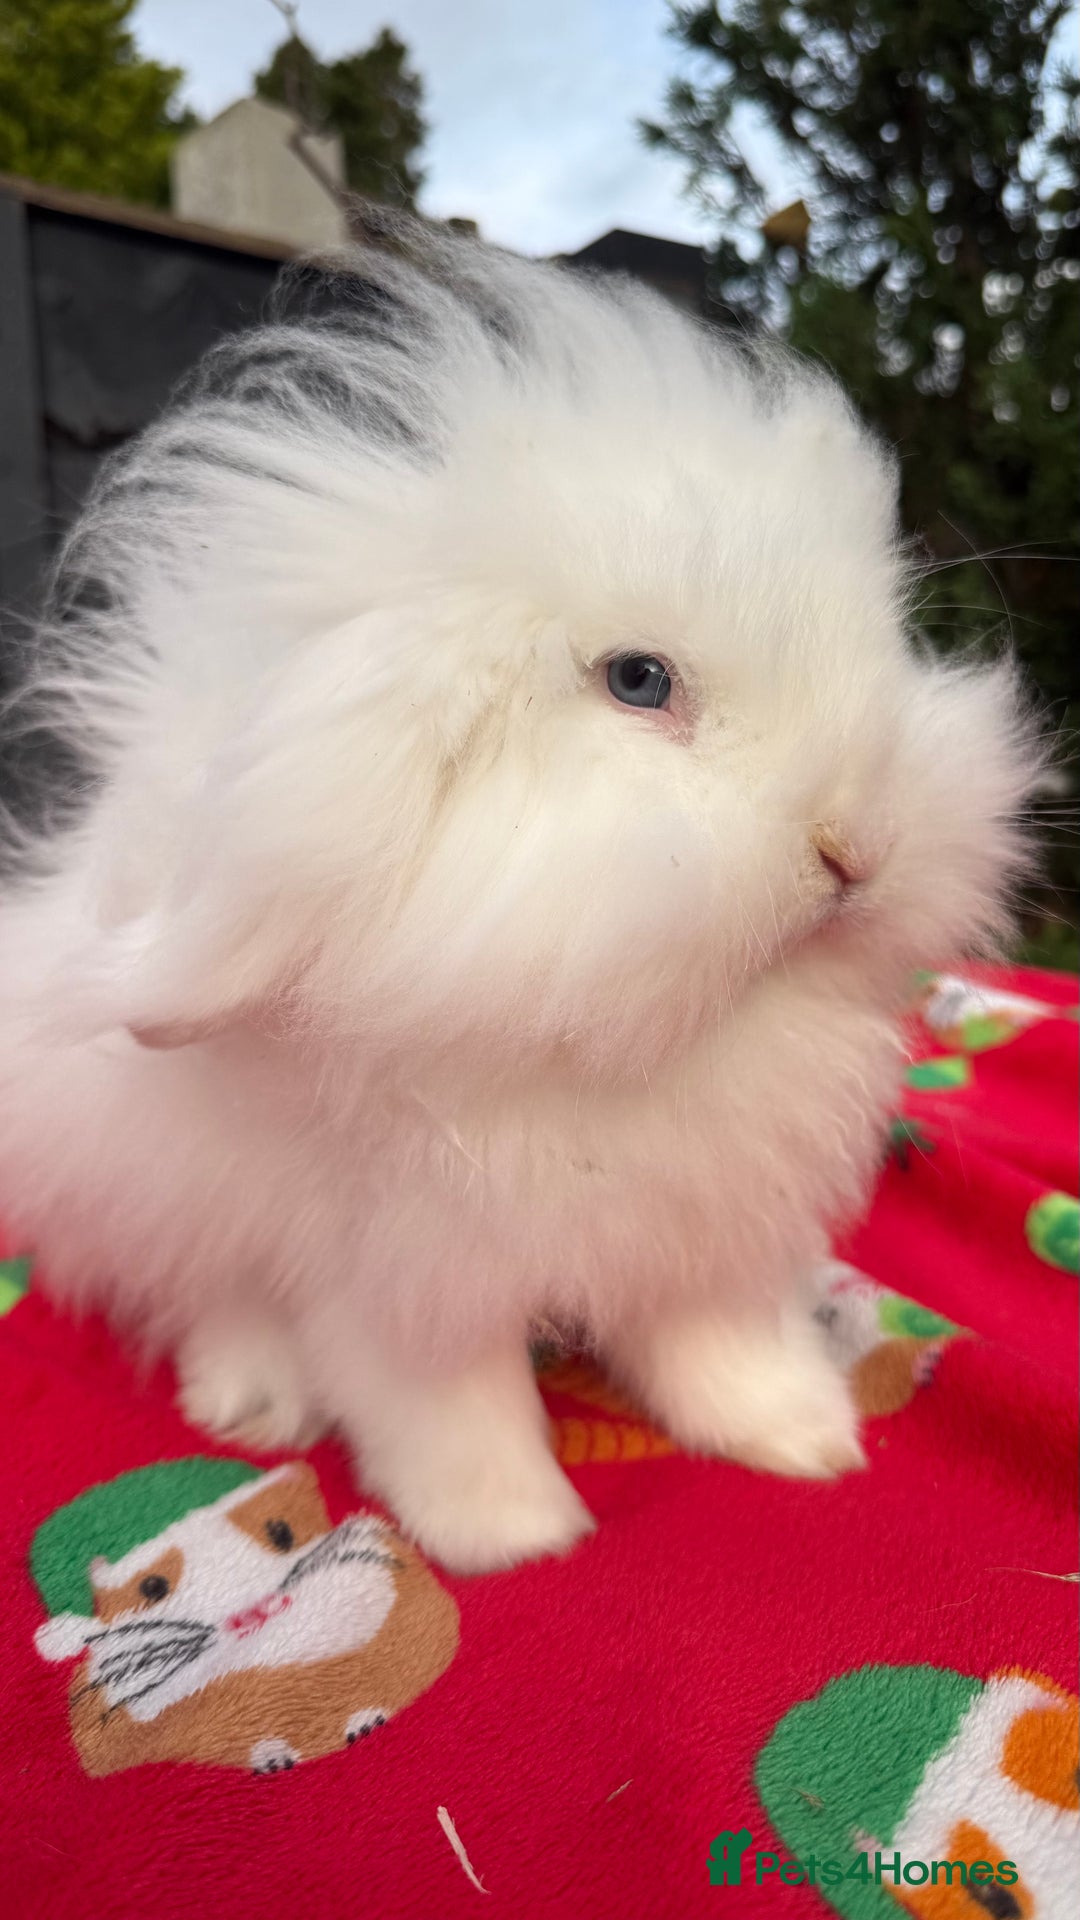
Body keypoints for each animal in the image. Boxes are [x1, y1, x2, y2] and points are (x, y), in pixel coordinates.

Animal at [0, 214, 1040, 1572]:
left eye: (888, 646)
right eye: (639, 680)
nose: (857, 848)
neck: (629, 1050)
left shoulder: (703, 1232)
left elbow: (713, 1343)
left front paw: (802, 1438)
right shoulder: (400, 1281)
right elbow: (446, 1407)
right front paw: (513, 1534)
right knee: (201, 1287)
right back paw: (253, 1399)